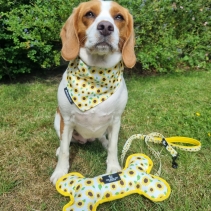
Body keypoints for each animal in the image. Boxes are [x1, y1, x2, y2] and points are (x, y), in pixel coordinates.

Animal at [50, 0, 136, 185]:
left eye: (119, 17)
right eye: (89, 14)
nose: (105, 27)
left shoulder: (116, 120)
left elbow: (113, 147)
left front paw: (113, 167)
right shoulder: (66, 121)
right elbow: (66, 151)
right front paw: (60, 172)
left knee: (104, 138)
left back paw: (103, 141)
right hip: (57, 120)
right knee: (66, 143)